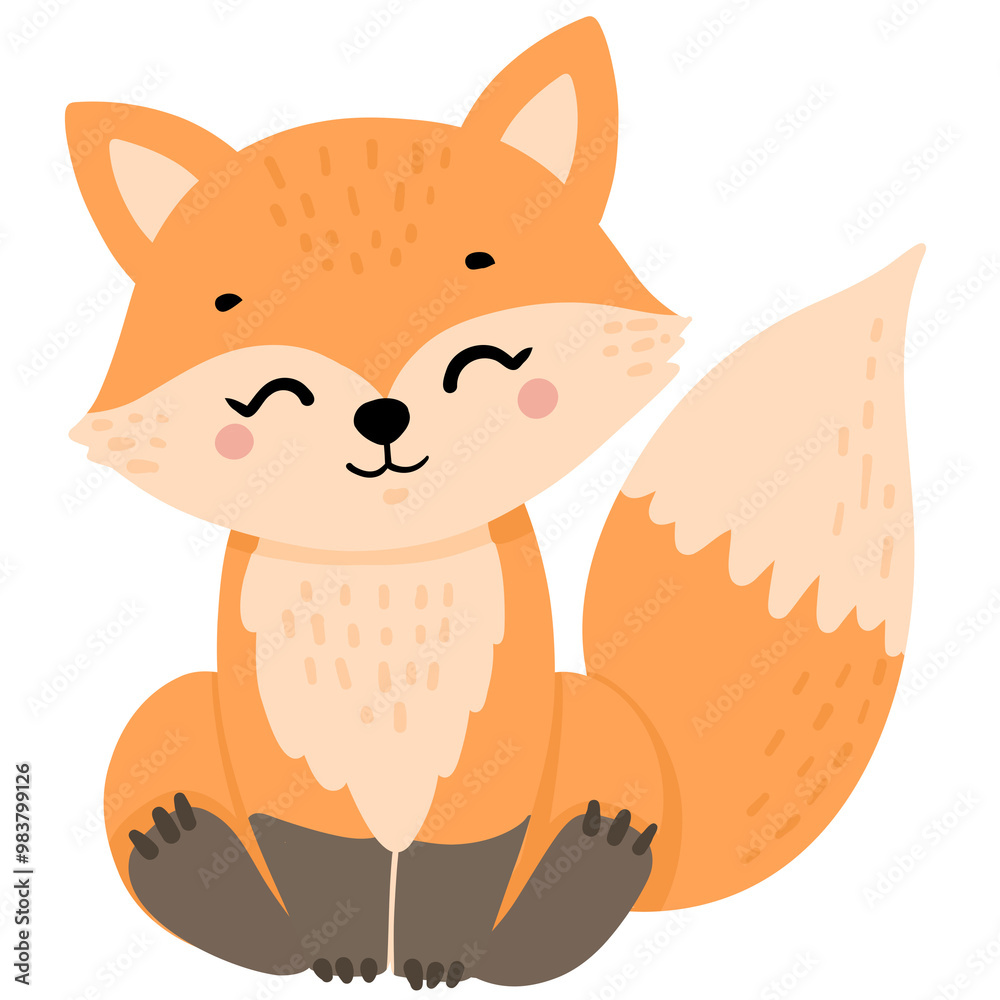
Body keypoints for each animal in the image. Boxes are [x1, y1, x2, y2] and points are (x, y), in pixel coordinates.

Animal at [67, 16, 921, 990]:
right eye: (230, 300)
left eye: (481, 261)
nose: (382, 414)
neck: (385, 581)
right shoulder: (284, 747)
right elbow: (314, 857)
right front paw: (340, 948)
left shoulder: (497, 746)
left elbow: (468, 860)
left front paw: (443, 955)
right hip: (166, 714)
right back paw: (186, 848)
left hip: (596, 725)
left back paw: (593, 857)